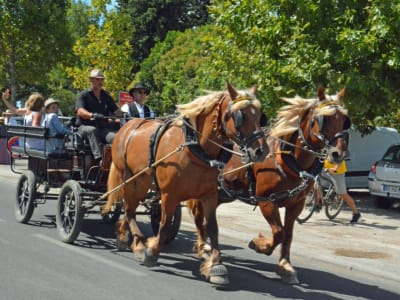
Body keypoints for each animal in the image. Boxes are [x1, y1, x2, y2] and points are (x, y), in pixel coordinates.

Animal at [103, 83, 268, 284]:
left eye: (259, 115)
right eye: (239, 115)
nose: (261, 151)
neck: (196, 148)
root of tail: (127, 125)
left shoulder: (209, 195)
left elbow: (212, 227)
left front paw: (216, 265)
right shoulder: (169, 194)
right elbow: (165, 225)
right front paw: (152, 251)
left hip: (142, 182)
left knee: (129, 210)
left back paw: (126, 236)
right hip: (129, 179)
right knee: (128, 209)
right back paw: (139, 243)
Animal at [188, 86, 350, 284]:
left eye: (344, 121)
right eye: (323, 119)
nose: (338, 154)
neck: (287, 160)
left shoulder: (296, 204)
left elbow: (288, 234)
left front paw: (285, 266)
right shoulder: (266, 201)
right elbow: (279, 232)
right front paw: (260, 245)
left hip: (224, 194)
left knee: (205, 219)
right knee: (198, 216)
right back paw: (203, 247)